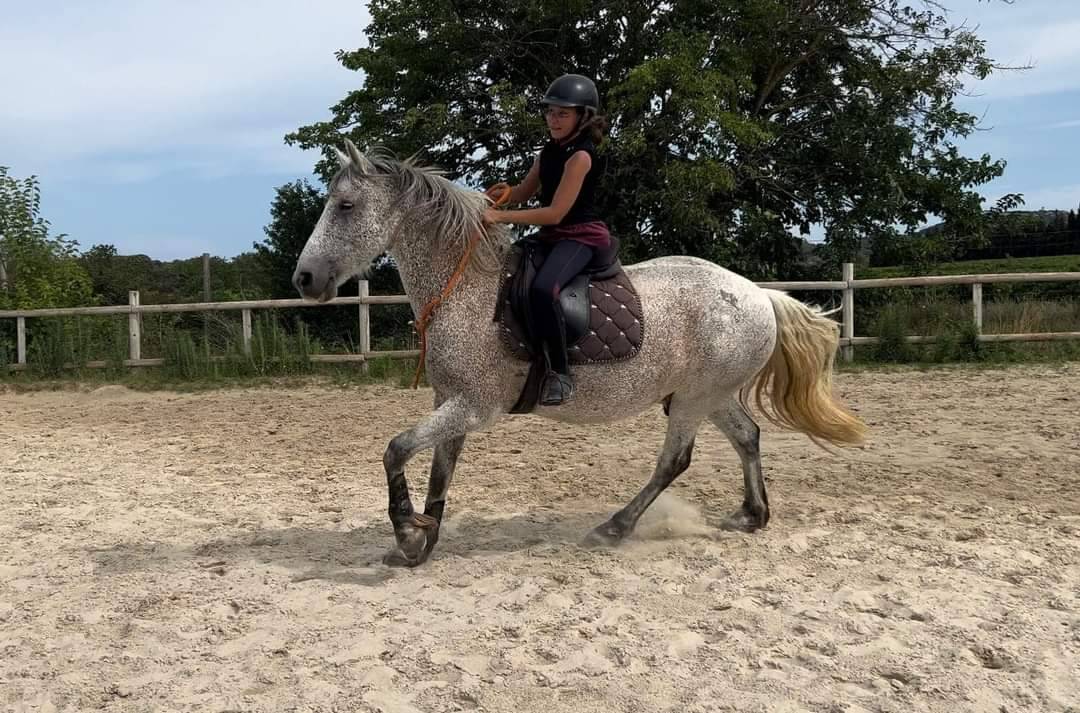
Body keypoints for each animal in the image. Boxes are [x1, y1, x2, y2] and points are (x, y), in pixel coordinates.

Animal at [292, 139, 867, 567]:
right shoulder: (451, 402)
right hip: (708, 394)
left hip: (693, 400)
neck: (465, 290)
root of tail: (759, 295)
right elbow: (439, 470)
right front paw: (424, 538)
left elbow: (396, 449)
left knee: (674, 460)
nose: (304, 279)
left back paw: (615, 526)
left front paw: (407, 533)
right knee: (747, 436)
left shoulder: (475, 407)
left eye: (345, 206)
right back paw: (751, 515)